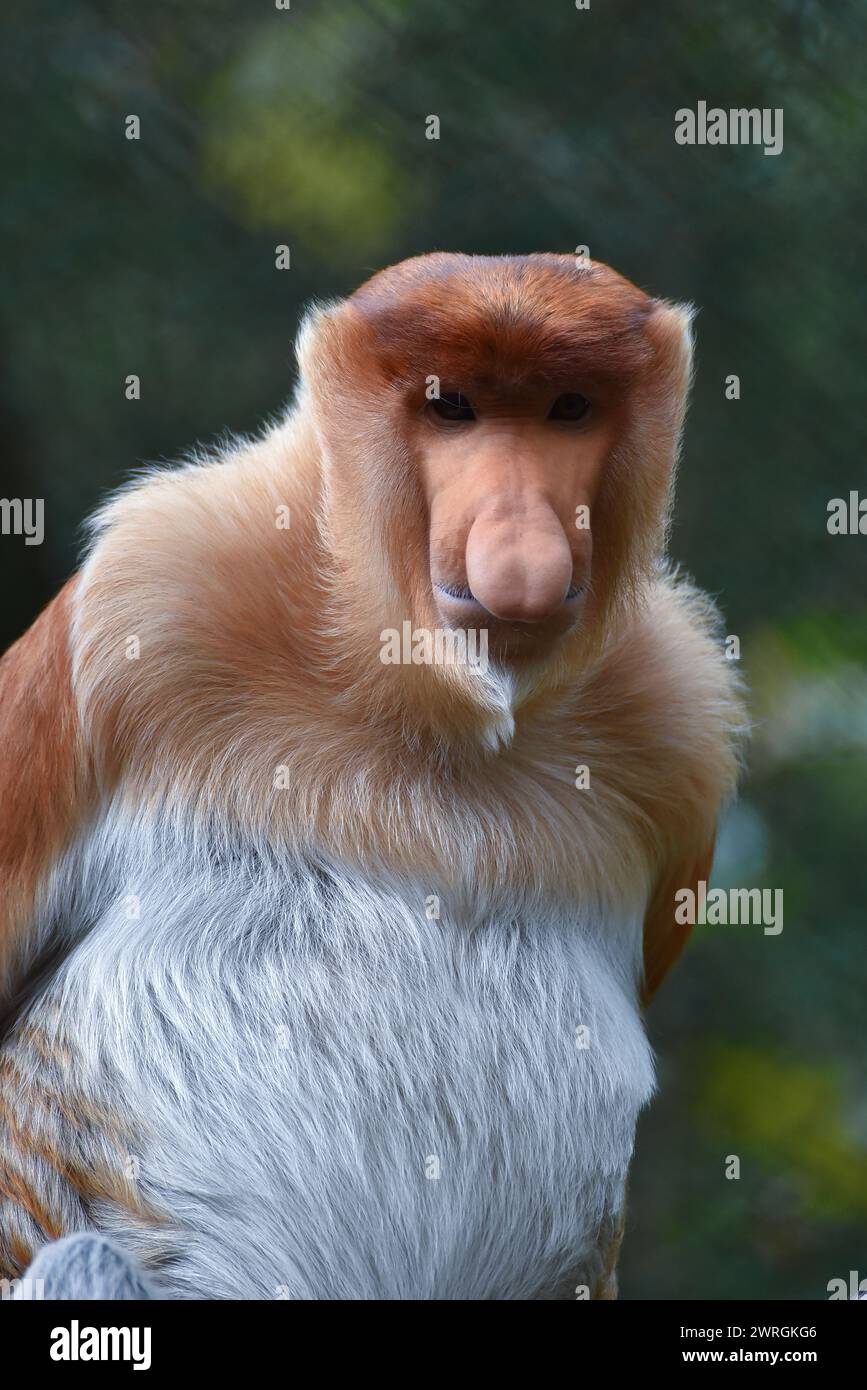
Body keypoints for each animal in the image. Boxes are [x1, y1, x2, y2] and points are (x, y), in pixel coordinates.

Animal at [0, 253, 744, 1300]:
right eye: (452, 408)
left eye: (567, 408)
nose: (520, 537)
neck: (433, 709)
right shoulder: (144, 595)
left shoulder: (679, 720)